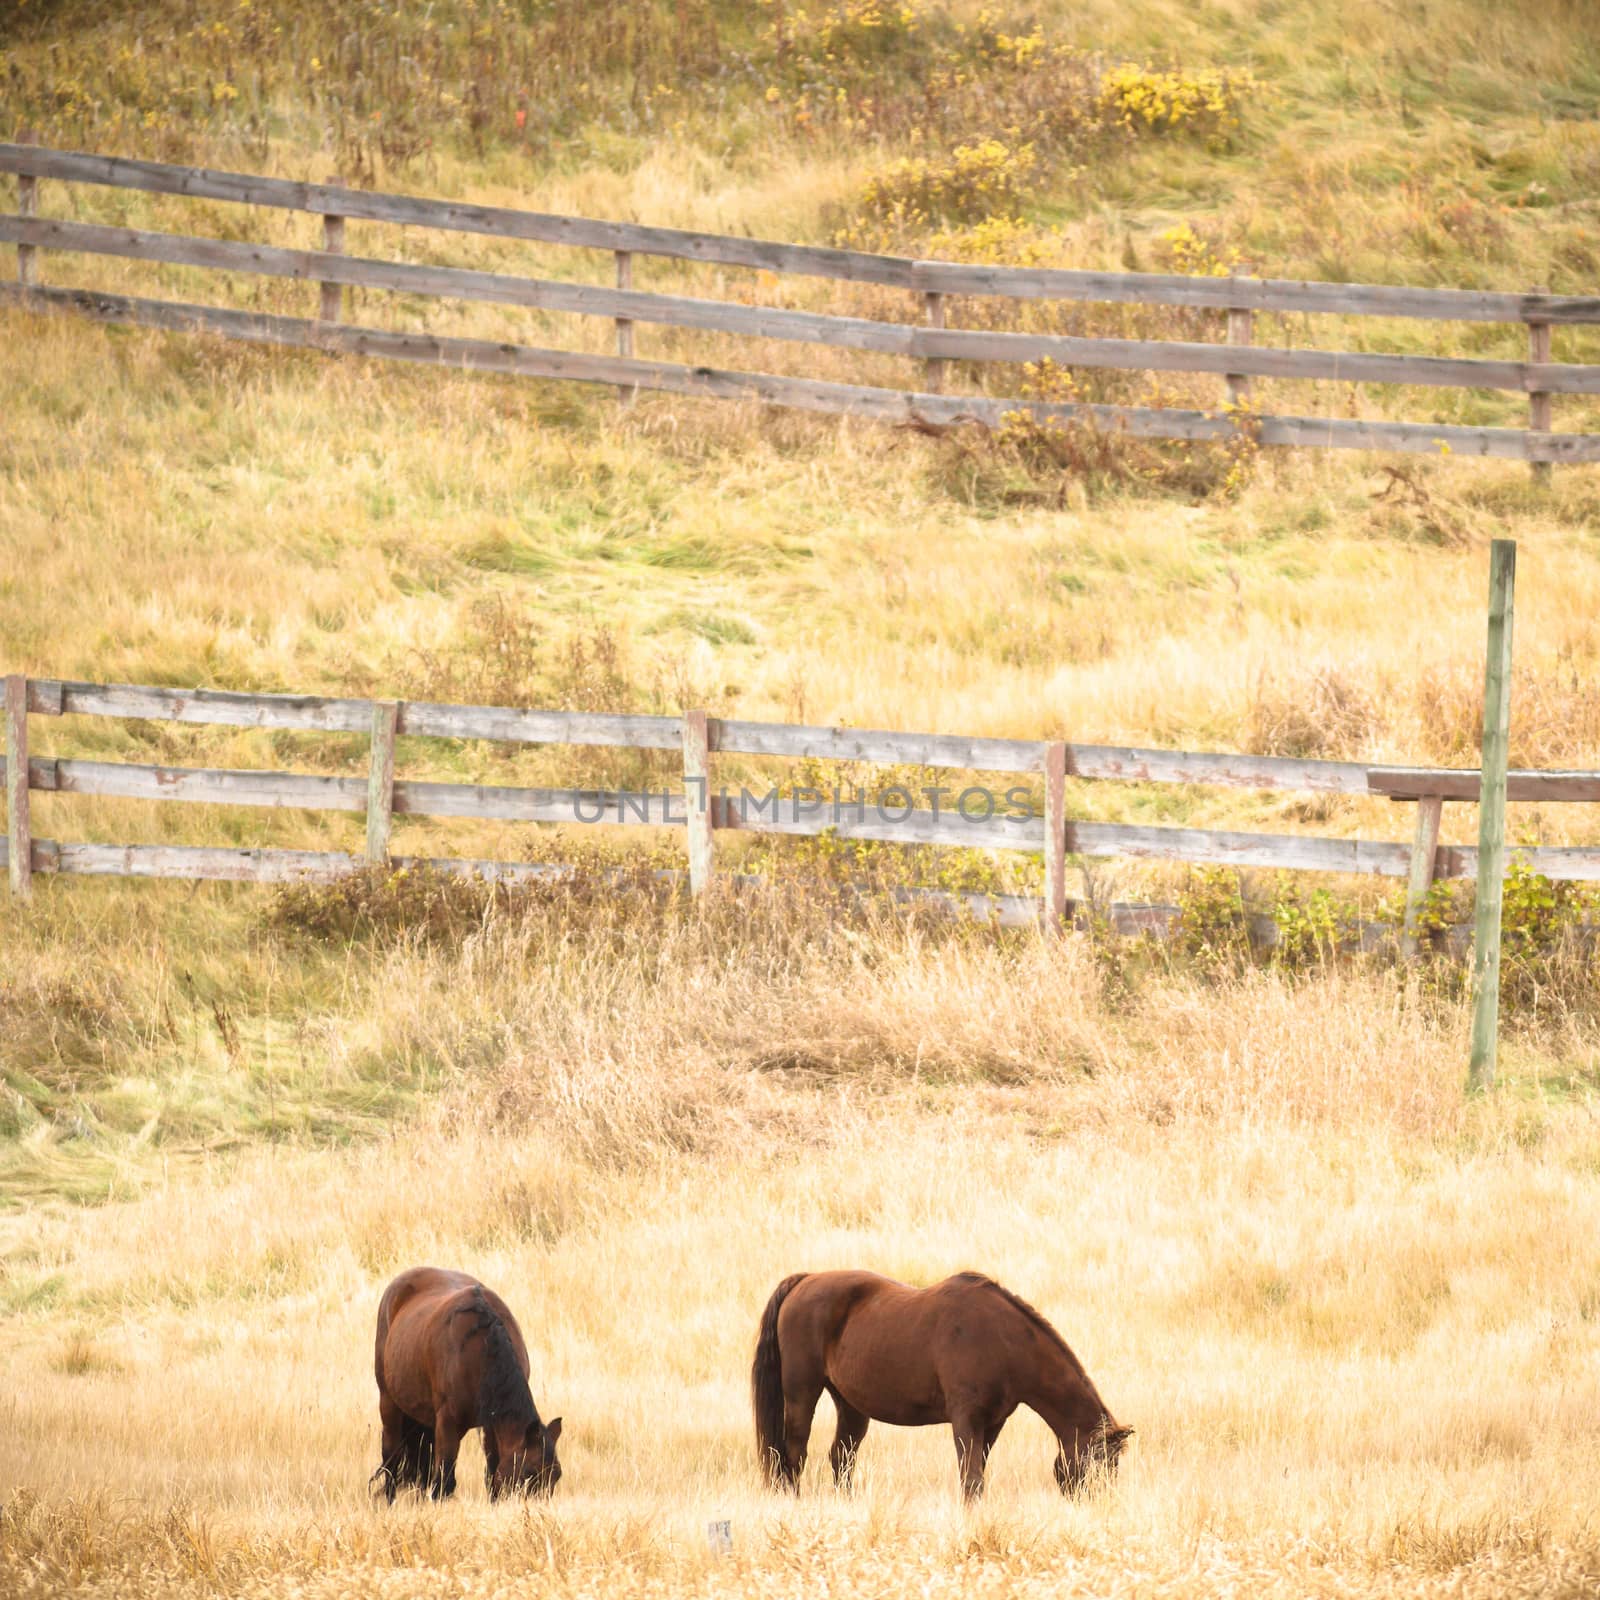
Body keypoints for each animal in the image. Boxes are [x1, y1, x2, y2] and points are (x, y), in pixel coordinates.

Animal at [369, 1267, 563, 1504]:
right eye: (529, 1472)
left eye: (557, 1475)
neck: (482, 1347)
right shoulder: (448, 1423)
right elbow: (443, 1482)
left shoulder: (490, 1425)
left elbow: (492, 1474)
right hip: (389, 1402)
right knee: (391, 1458)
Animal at [755, 1273, 1132, 1497]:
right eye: (1101, 1465)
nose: (1102, 1503)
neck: (1002, 1340)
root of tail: (805, 1281)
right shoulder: (966, 1418)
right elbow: (971, 1478)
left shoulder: (993, 1422)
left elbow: (977, 1473)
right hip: (802, 1393)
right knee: (794, 1455)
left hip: (851, 1405)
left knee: (841, 1457)